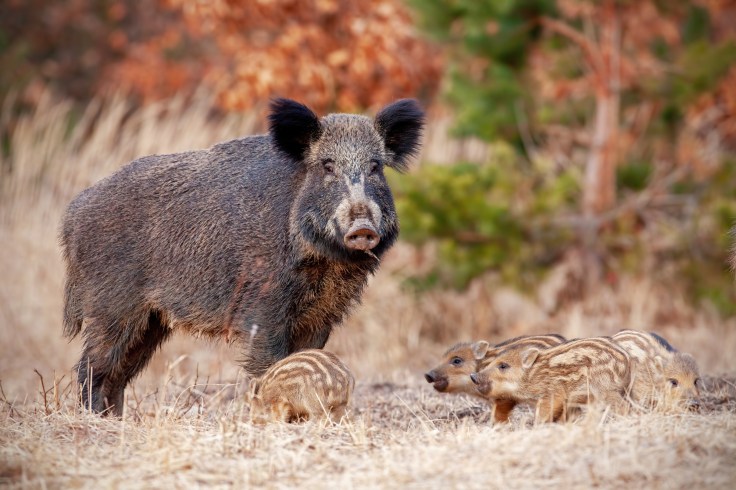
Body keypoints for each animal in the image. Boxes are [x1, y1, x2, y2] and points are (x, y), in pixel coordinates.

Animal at [60, 98, 424, 416]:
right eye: (327, 165)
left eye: (375, 166)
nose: (363, 227)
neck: (325, 263)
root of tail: (73, 214)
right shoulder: (262, 305)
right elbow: (267, 363)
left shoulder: (323, 313)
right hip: (112, 305)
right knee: (92, 367)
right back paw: (94, 419)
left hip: (151, 319)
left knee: (120, 373)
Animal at [471, 337, 632, 423]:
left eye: (503, 366)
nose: (473, 376)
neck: (533, 375)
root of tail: (626, 360)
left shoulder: (553, 394)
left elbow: (543, 413)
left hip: (604, 389)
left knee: (623, 407)